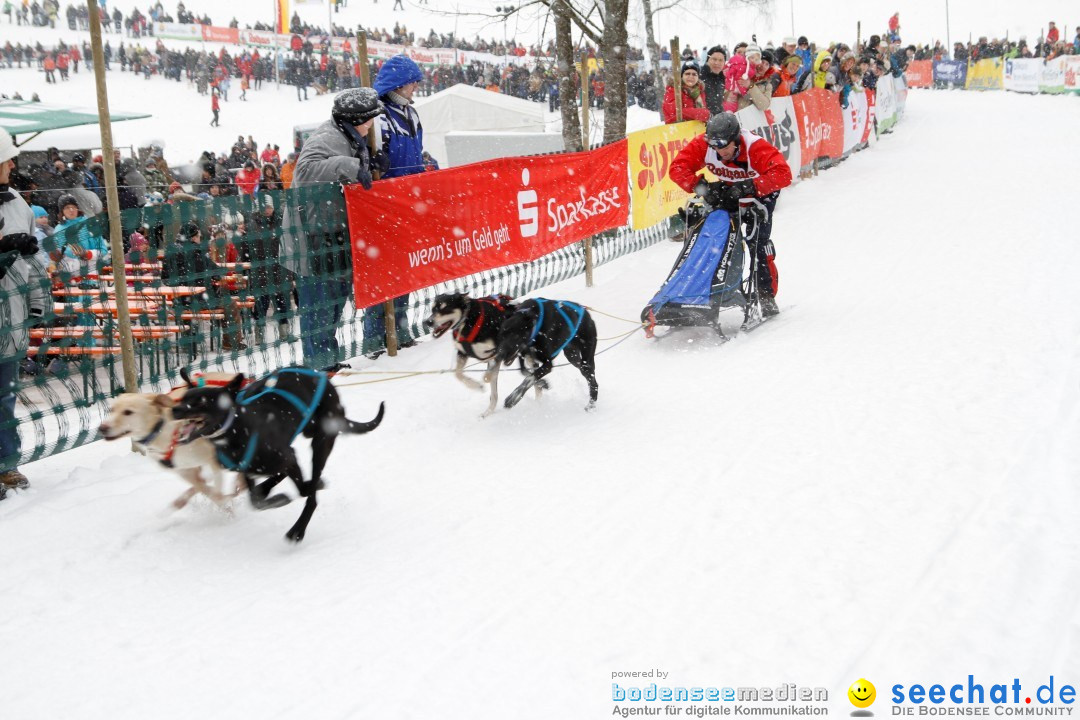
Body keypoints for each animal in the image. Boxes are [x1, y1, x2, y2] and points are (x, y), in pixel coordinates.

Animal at [170, 367, 386, 539]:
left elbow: (302, 489)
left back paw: (298, 529)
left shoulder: (288, 457)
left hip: (321, 442)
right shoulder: (250, 469)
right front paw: (274, 496)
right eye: (184, 398)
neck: (237, 429)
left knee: (311, 495)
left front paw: (289, 495)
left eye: (200, 401)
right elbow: (255, 501)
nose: (174, 409)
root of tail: (325, 378)